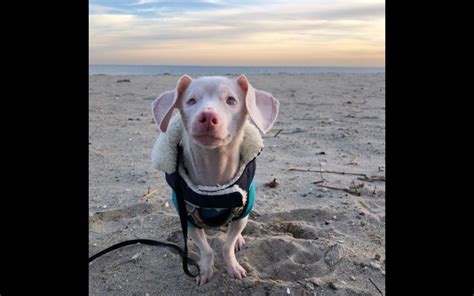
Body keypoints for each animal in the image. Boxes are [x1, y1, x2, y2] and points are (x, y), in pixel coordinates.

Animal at [151, 74, 278, 284]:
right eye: (191, 101)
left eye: (231, 101)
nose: (208, 116)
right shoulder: (189, 219)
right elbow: (206, 250)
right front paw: (205, 270)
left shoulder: (243, 210)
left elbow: (227, 245)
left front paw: (233, 267)